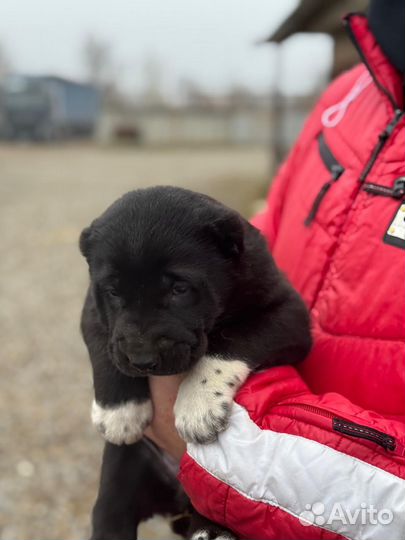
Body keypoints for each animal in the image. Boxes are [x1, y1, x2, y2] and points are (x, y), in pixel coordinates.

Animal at [79, 187, 312, 540]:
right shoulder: (93, 309)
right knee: (111, 514)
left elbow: (231, 341)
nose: (142, 358)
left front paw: (198, 406)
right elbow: (106, 348)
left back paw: (212, 532)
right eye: (113, 292)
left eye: (180, 289)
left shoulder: (289, 314)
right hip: (125, 472)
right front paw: (119, 412)